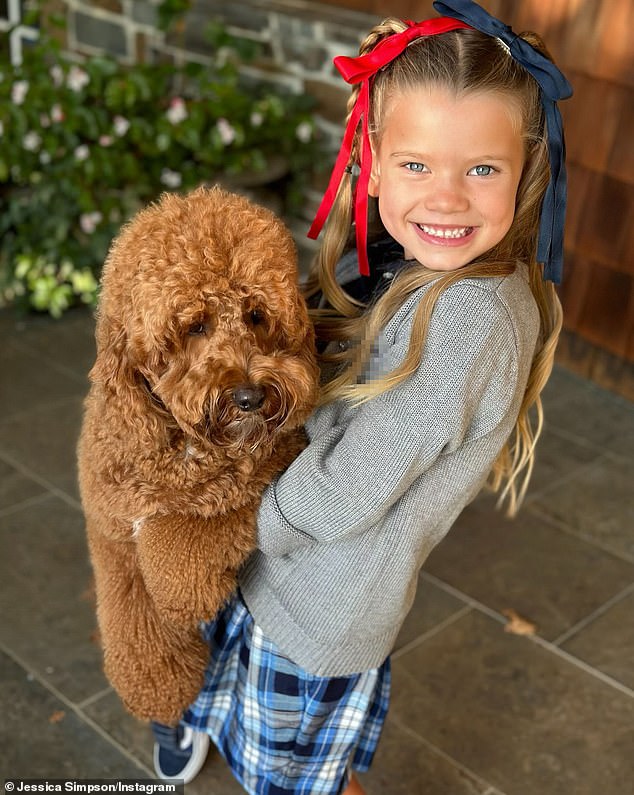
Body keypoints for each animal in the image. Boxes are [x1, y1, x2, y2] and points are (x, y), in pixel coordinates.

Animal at [78, 188, 316, 728]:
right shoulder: (110, 525)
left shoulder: (270, 464)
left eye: (256, 315)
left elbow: (178, 536)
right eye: (194, 326)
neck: (181, 445)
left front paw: (186, 596)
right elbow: (127, 603)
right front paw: (156, 681)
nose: (251, 396)